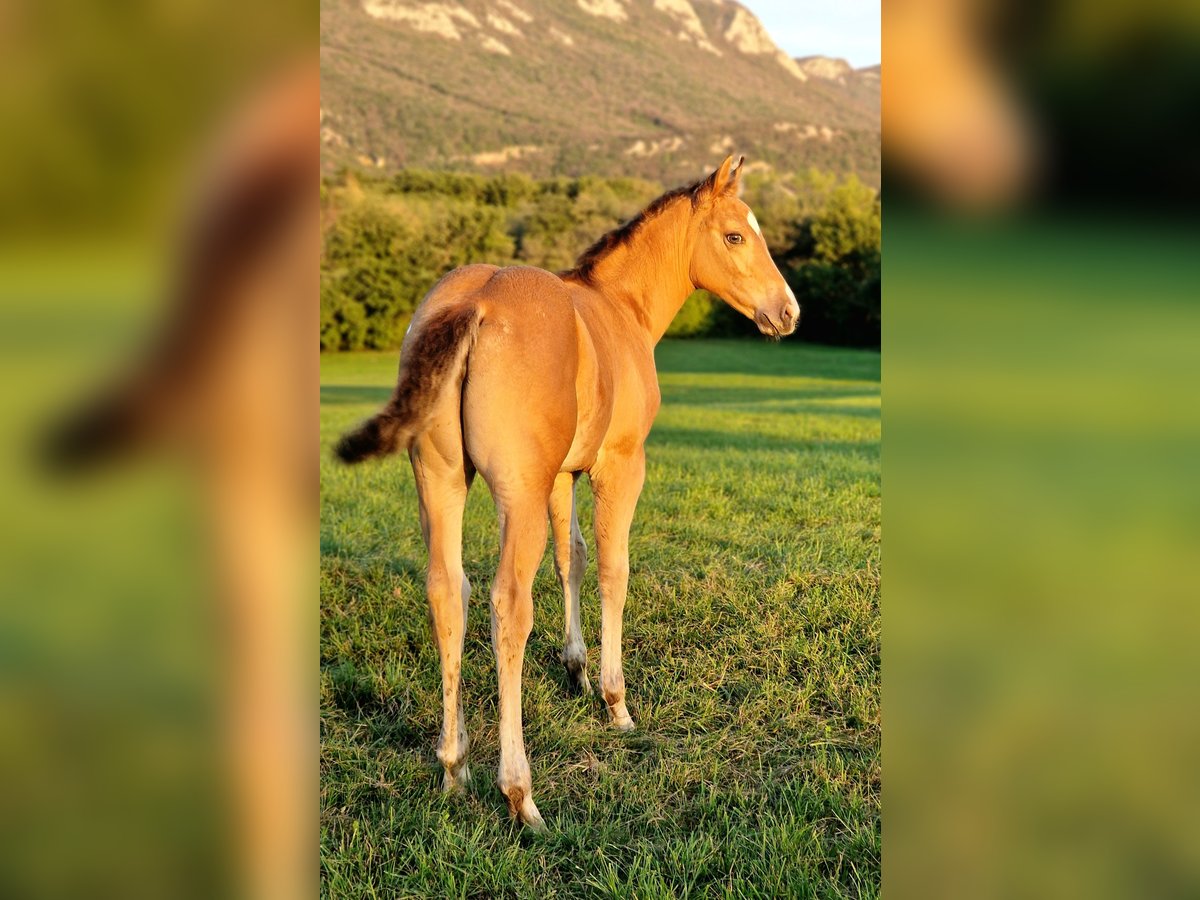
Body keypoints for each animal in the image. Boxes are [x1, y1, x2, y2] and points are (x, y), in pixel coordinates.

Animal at [336, 154, 796, 830]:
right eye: (736, 235)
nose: (788, 313)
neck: (619, 308)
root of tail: (473, 304)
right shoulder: (619, 464)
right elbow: (611, 567)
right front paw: (614, 701)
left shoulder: (561, 476)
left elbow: (570, 558)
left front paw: (575, 669)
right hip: (517, 496)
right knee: (507, 605)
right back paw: (519, 792)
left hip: (441, 480)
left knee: (448, 590)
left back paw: (453, 767)